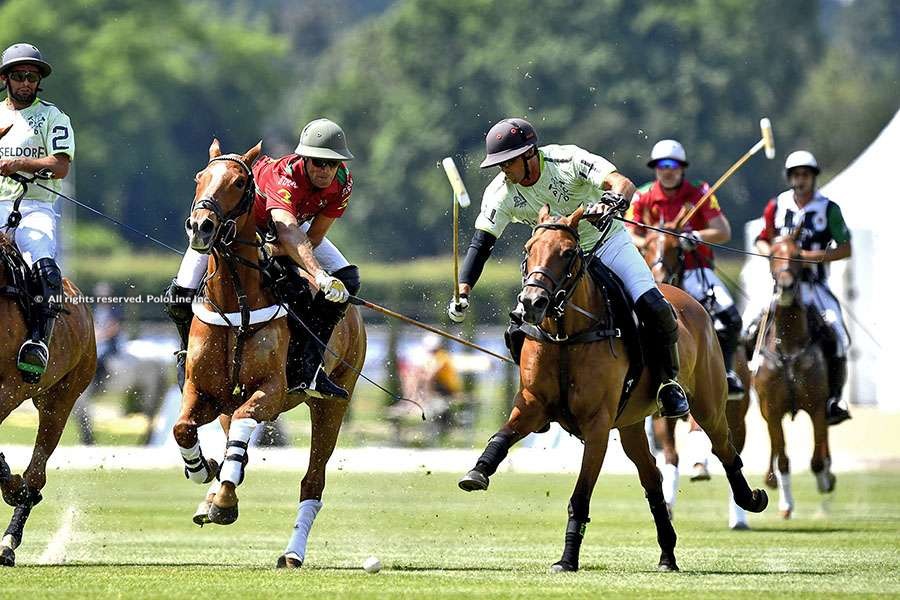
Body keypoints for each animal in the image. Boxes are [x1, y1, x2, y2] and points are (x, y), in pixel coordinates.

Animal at [171, 141, 368, 568]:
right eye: (199, 177)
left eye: (239, 182)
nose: (201, 226)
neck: (237, 301)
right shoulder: (203, 391)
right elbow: (183, 429)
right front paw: (203, 472)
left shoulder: (271, 390)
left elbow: (243, 432)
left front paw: (224, 500)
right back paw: (211, 492)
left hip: (332, 404)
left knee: (312, 480)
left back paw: (292, 553)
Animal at [458, 205, 768, 572]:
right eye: (528, 249)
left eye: (568, 253)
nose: (532, 302)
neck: (566, 335)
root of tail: (692, 303)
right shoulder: (533, 404)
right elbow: (502, 435)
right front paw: (478, 472)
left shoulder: (597, 425)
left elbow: (580, 496)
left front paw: (567, 559)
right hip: (633, 424)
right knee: (652, 477)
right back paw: (667, 554)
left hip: (709, 404)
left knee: (725, 448)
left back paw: (750, 499)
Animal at [748, 233, 832, 516]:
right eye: (773, 254)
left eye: (797, 255)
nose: (785, 287)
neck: (788, 346)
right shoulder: (772, 409)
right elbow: (783, 458)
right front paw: (786, 504)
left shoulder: (817, 406)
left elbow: (816, 458)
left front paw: (824, 479)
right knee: (776, 447)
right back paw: (770, 478)